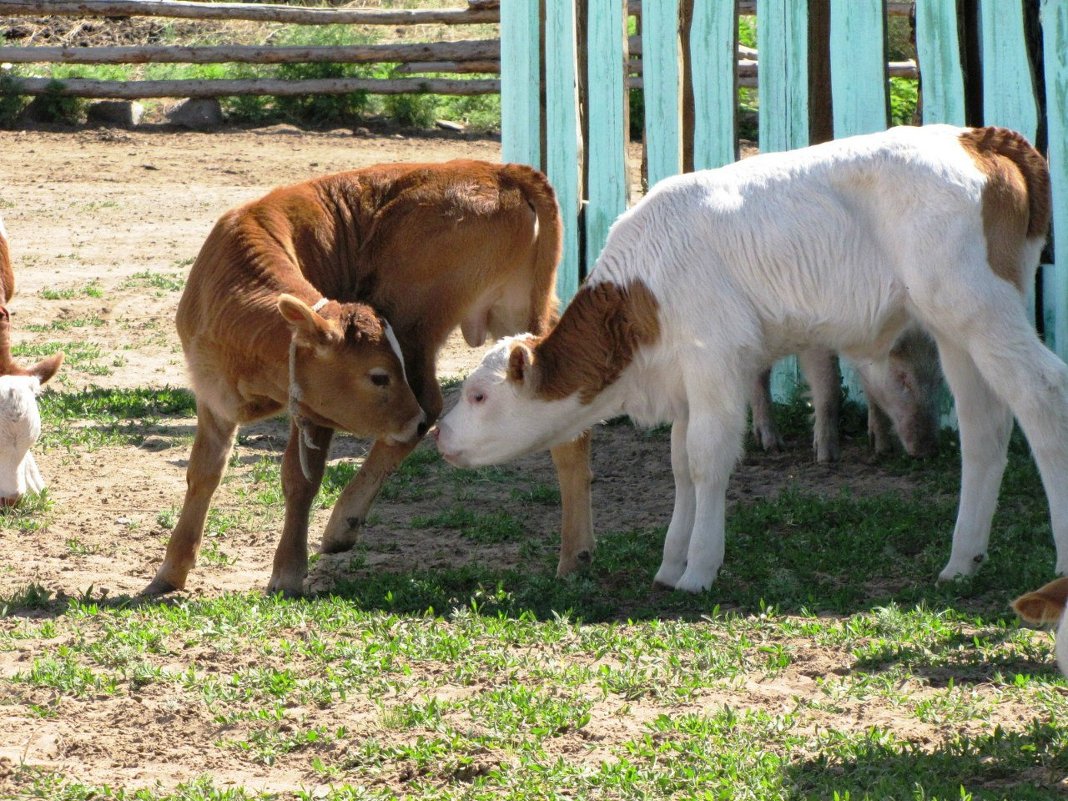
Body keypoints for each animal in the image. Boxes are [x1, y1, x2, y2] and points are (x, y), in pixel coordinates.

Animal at [144, 160, 593, 598]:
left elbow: (300, 479)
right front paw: (170, 570)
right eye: (378, 377)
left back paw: (342, 522)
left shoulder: (314, 413)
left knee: (429, 405)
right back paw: (576, 557)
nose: (412, 420)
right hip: (516, 315)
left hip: (416, 320)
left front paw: (288, 571)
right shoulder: (213, 398)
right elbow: (203, 472)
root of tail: (506, 172)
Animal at [437, 123, 1063, 589]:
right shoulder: (686, 384)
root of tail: (978, 137)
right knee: (984, 426)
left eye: (479, 395)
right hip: (955, 330)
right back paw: (962, 561)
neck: (642, 289)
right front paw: (670, 563)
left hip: (979, 307)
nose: (439, 434)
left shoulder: (716, 365)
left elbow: (707, 461)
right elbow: (680, 466)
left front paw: (698, 570)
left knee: (1042, 394)